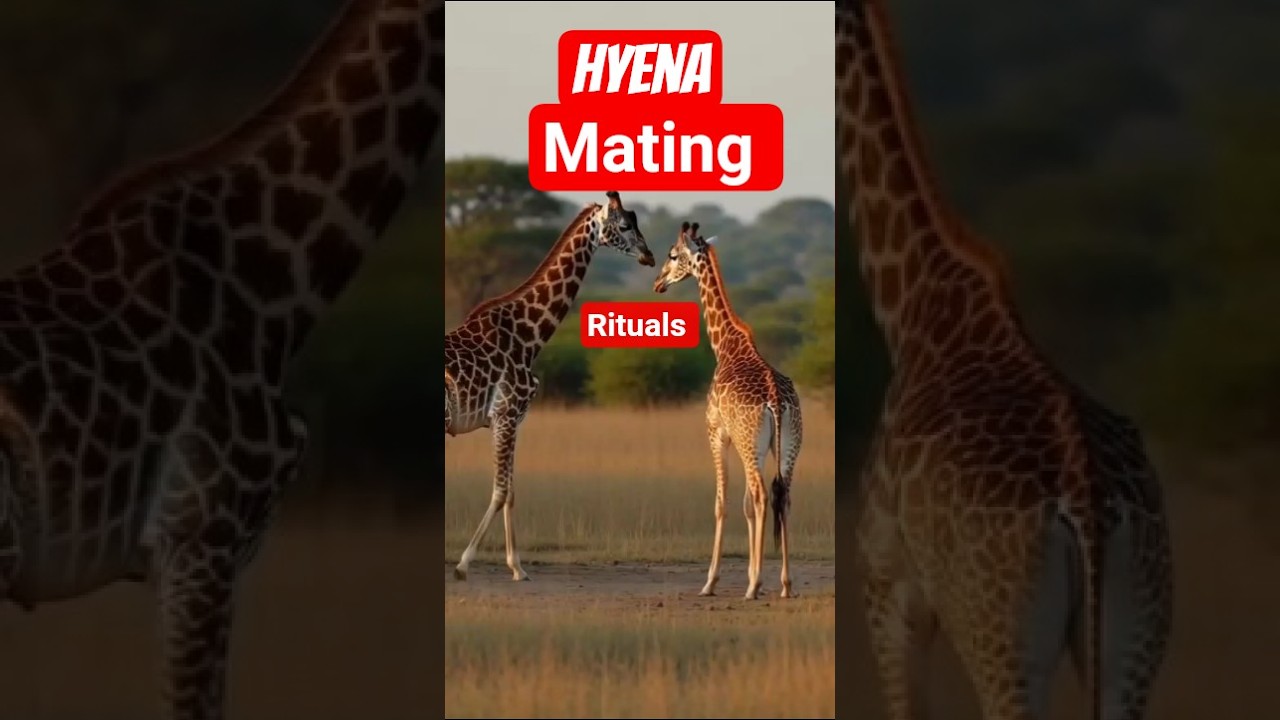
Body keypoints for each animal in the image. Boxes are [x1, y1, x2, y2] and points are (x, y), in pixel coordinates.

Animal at [446, 191, 654, 581]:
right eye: (623, 225)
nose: (649, 255)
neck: (529, 336)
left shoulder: (510, 420)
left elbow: (510, 491)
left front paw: (517, 567)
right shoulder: (506, 413)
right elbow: (500, 491)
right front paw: (464, 565)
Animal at [652, 222, 803, 601]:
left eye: (672, 255)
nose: (658, 282)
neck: (726, 345)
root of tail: (775, 401)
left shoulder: (717, 432)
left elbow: (723, 502)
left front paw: (712, 582)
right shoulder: (740, 440)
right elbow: (747, 505)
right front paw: (751, 574)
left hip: (753, 445)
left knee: (764, 496)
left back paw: (755, 586)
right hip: (788, 446)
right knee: (782, 497)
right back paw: (785, 584)